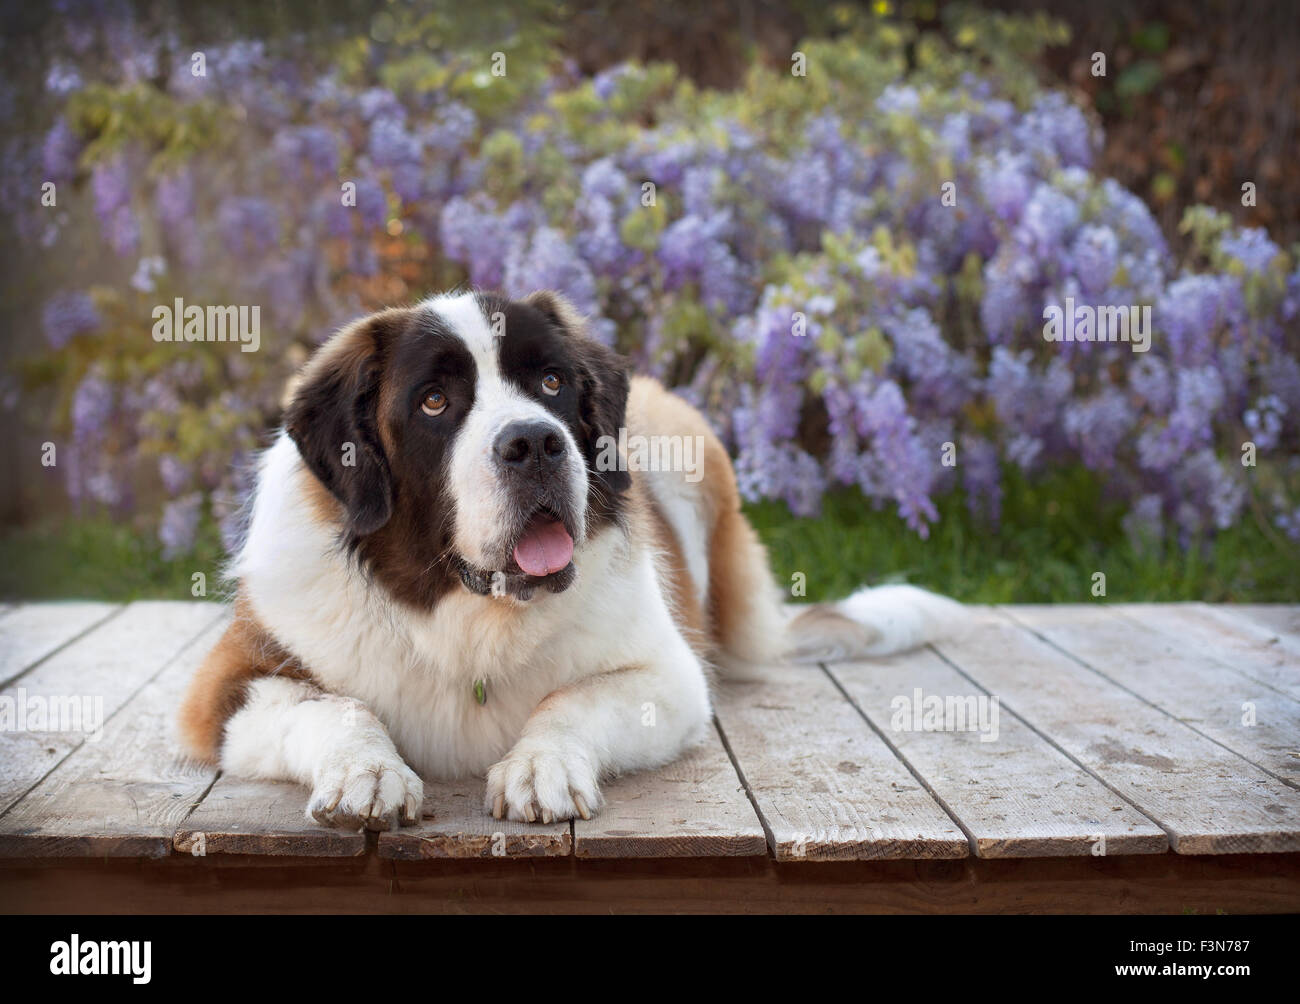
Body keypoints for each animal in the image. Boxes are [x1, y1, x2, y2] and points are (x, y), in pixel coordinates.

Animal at [178, 288, 961, 821]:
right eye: (434, 401)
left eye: (551, 382)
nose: (534, 442)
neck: (466, 612)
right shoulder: (227, 684)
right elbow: (334, 706)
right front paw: (367, 773)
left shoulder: (671, 676)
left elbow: (572, 698)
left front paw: (540, 766)